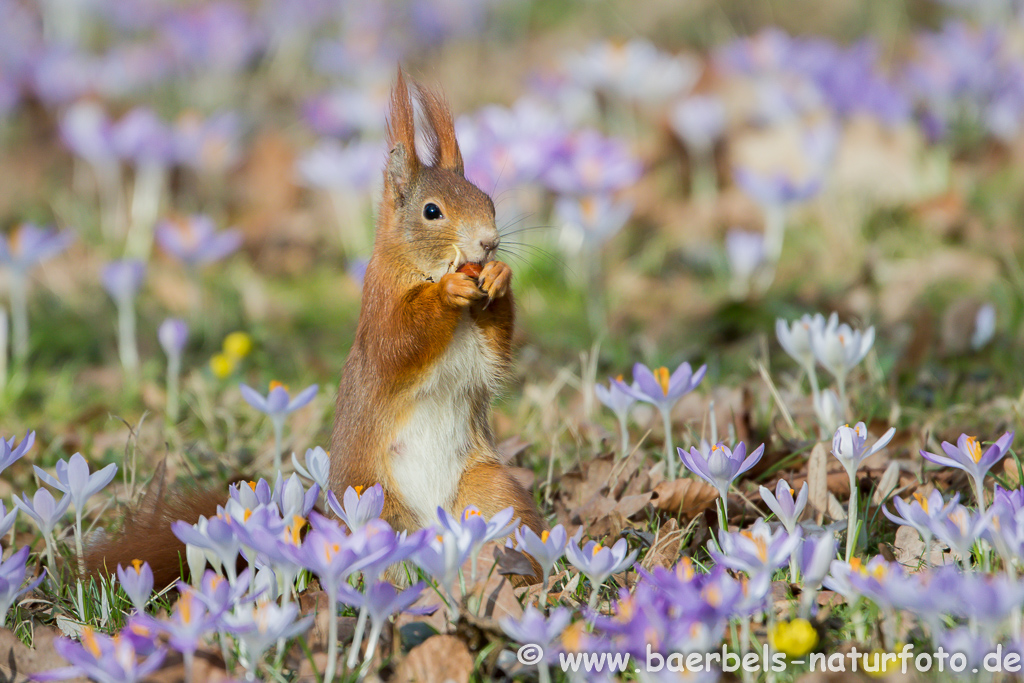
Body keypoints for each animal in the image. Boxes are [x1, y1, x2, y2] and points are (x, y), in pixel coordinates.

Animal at [88, 74, 544, 589]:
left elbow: (495, 353)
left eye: (488, 200)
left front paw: (500, 278)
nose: (489, 242)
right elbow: (399, 344)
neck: (419, 268)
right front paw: (449, 291)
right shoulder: (378, 313)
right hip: (375, 508)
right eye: (432, 212)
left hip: (489, 492)